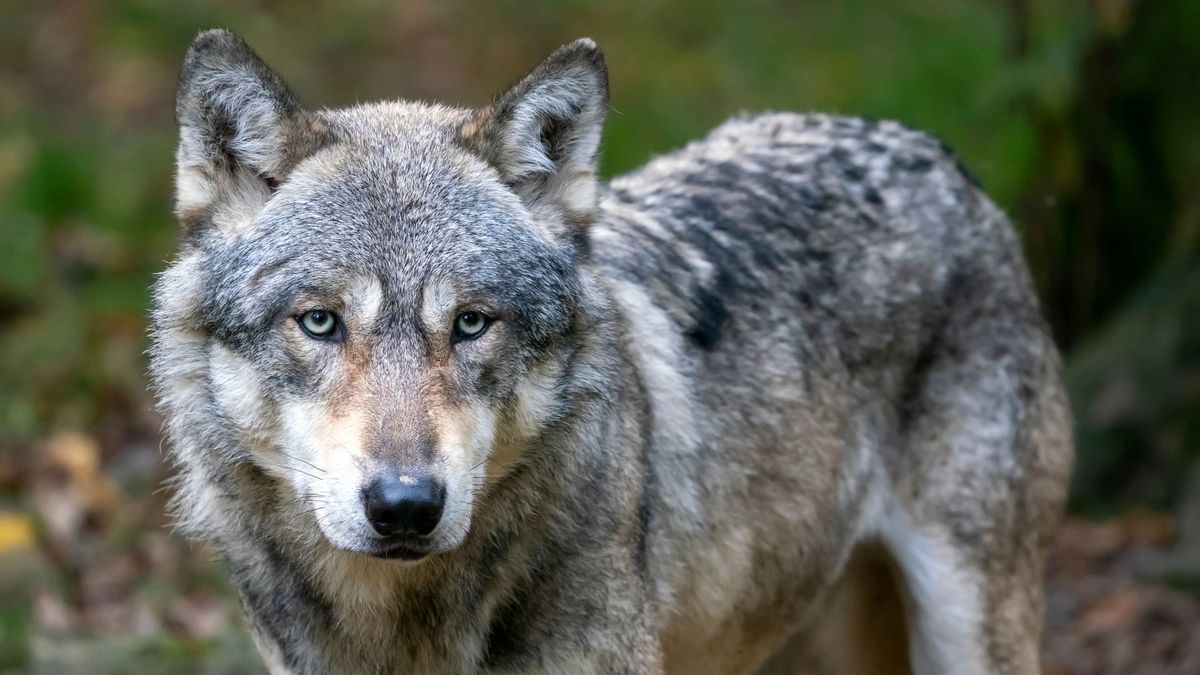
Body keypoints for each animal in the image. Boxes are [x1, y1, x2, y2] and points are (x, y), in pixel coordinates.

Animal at [150, 28, 1073, 675]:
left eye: (473, 323)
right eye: (320, 322)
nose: (406, 505)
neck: (407, 626)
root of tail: (940, 156)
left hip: (967, 623)